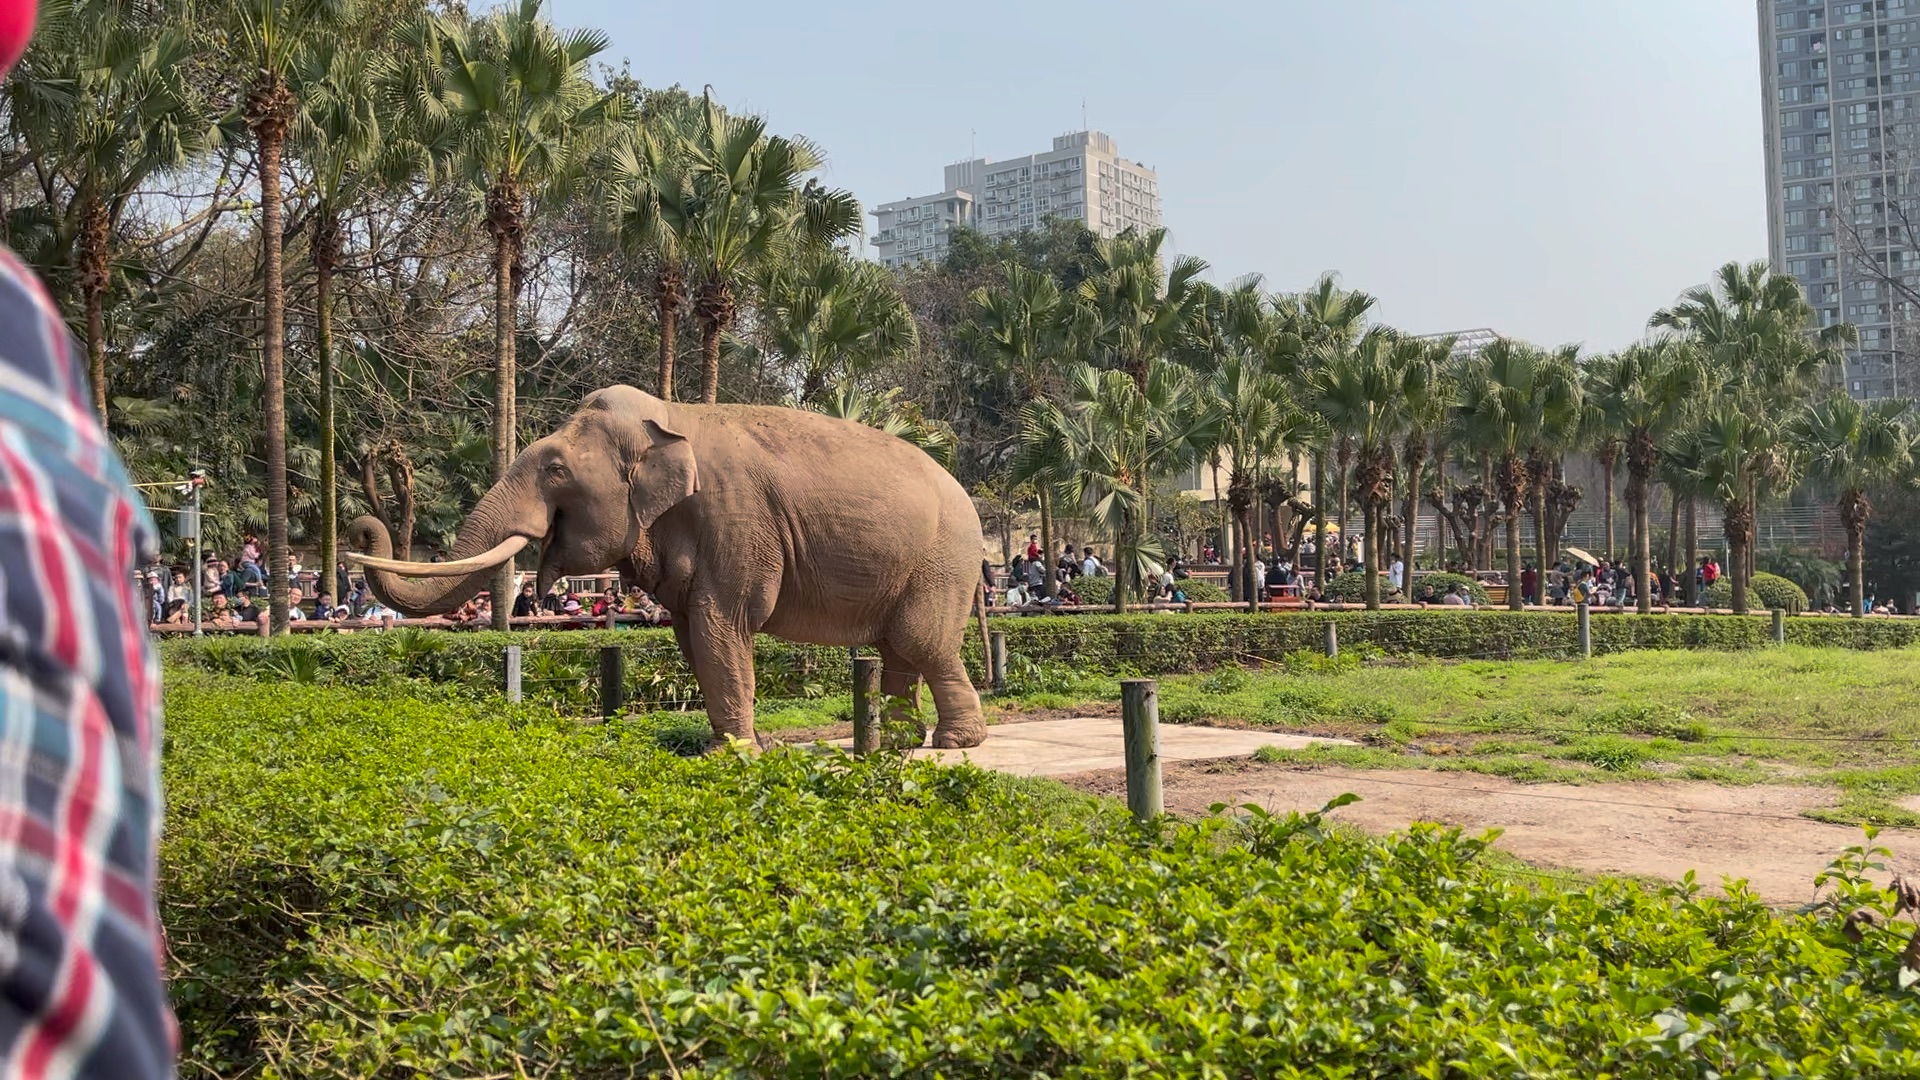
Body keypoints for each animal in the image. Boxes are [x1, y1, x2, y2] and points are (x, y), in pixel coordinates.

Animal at [344, 385, 990, 749]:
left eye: (555, 469)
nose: (360, 526)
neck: (669, 419)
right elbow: (691, 633)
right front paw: (743, 747)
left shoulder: (735, 518)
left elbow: (720, 621)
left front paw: (734, 755)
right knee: (896, 649)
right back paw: (900, 742)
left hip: (943, 562)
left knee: (921, 642)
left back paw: (953, 744)